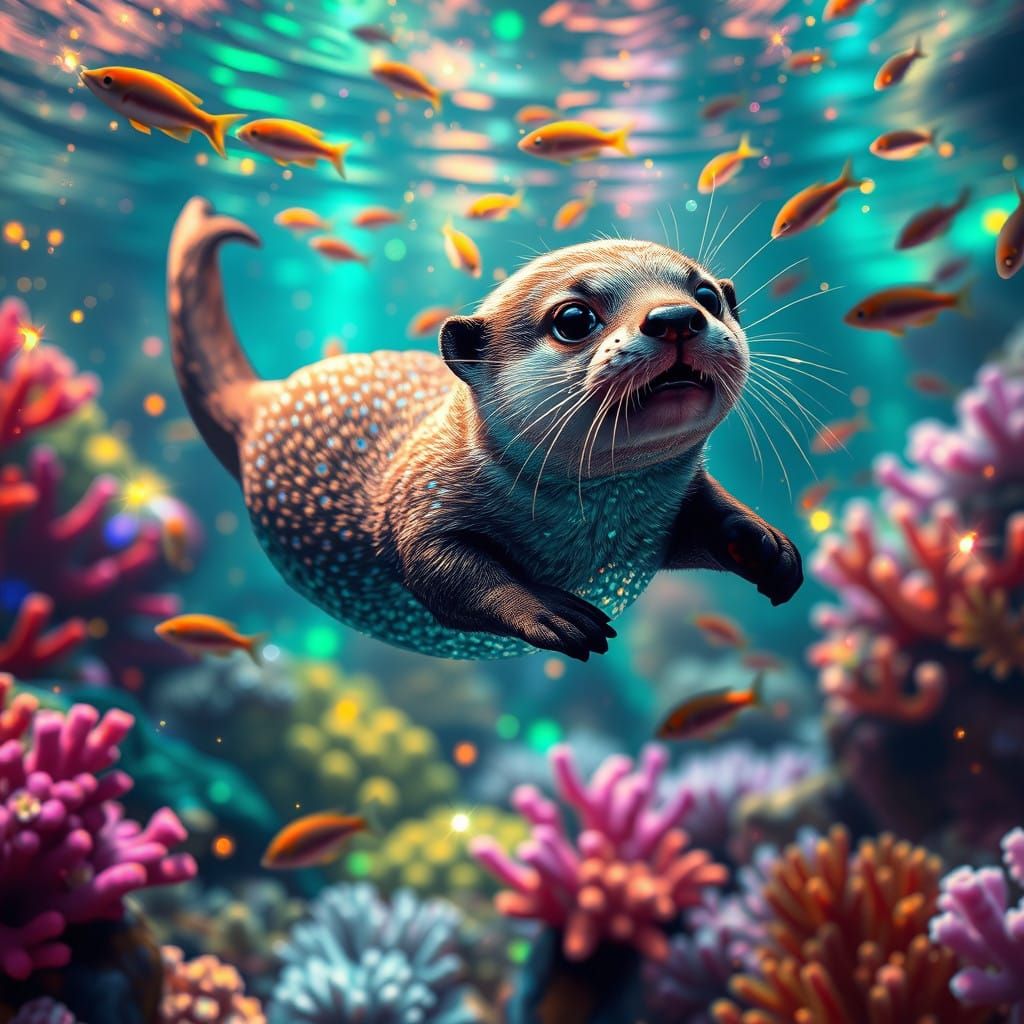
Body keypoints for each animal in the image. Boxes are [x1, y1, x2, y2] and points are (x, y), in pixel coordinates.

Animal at [167, 197, 802, 662]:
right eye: (574, 318)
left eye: (707, 295)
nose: (676, 316)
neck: (590, 539)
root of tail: (265, 396)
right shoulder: (418, 500)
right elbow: (445, 571)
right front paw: (547, 611)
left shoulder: (659, 526)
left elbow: (708, 516)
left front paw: (765, 545)